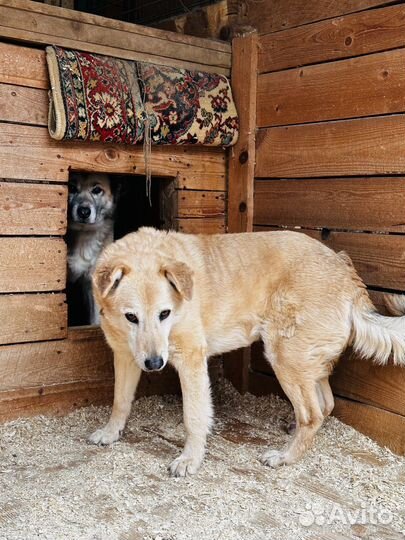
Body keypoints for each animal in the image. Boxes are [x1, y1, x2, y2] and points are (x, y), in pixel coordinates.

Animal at [88, 228, 404, 476]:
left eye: (164, 314)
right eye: (131, 317)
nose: (154, 364)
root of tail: (343, 267)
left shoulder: (191, 360)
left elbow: (194, 416)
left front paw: (190, 459)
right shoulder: (125, 356)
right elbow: (120, 401)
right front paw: (111, 432)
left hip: (284, 357)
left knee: (312, 413)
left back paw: (286, 457)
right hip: (304, 359)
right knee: (325, 404)